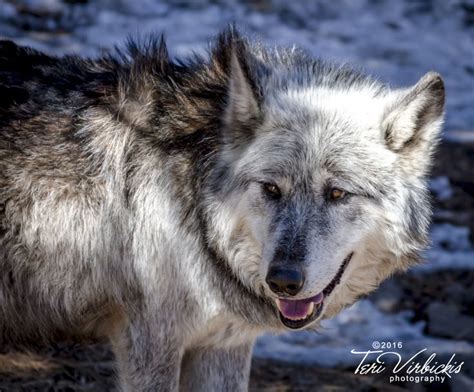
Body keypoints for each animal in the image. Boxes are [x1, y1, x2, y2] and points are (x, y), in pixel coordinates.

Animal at [0, 26, 444, 388]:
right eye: (271, 189)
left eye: (336, 194)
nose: (282, 281)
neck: (196, 210)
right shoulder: (149, 344)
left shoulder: (223, 345)